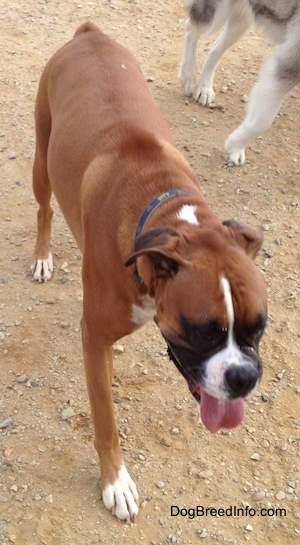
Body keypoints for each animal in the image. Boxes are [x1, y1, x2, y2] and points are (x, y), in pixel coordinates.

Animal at [31, 22, 268, 524]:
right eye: (204, 331)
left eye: (259, 327)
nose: (243, 379)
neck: (166, 212)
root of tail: (89, 33)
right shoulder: (94, 336)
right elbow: (105, 420)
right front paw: (115, 483)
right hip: (42, 161)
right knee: (44, 210)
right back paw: (42, 256)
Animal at [179, 1, 298, 165]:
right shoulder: (288, 62)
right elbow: (262, 121)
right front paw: (235, 146)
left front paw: (236, 146)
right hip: (216, 14)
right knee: (191, 29)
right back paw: (189, 73)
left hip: (243, 19)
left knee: (215, 49)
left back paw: (204, 87)